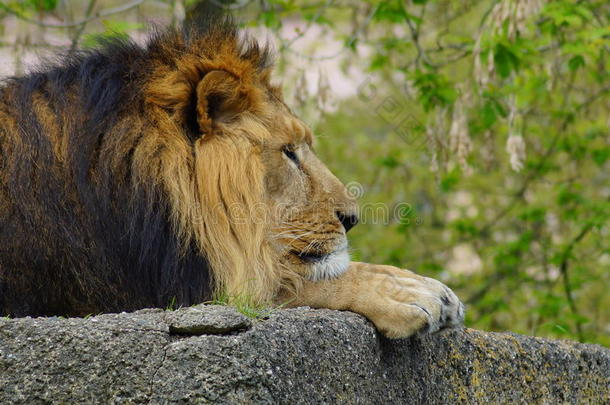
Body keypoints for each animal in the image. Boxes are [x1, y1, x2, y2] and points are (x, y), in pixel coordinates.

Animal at [0, 16, 458, 338]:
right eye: (288, 152)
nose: (352, 218)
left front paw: (410, 281)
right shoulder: (138, 289)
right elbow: (283, 284)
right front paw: (404, 293)